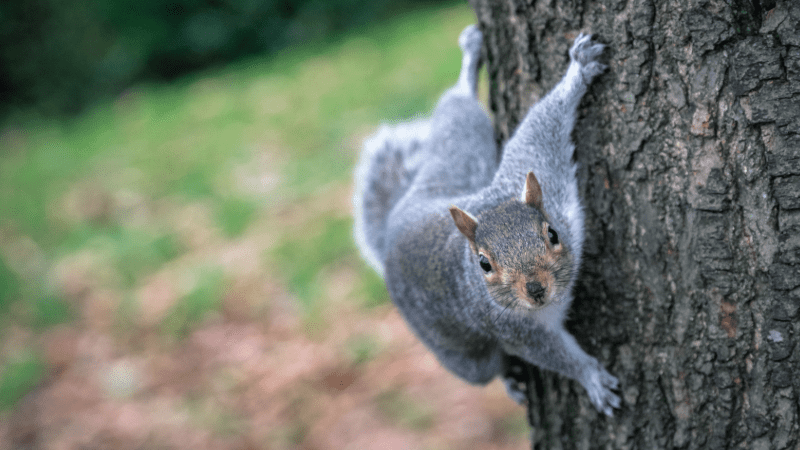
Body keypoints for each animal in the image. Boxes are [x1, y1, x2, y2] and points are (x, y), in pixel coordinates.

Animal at [354, 24, 620, 416]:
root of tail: (391, 230)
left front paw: (579, 71)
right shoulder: (514, 331)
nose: (535, 289)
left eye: (553, 234)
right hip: (463, 357)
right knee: (489, 369)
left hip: (460, 159)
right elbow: (555, 356)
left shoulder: (544, 175)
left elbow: (541, 127)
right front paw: (592, 379)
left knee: (458, 114)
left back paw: (469, 59)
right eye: (483, 264)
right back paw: (510, 381)